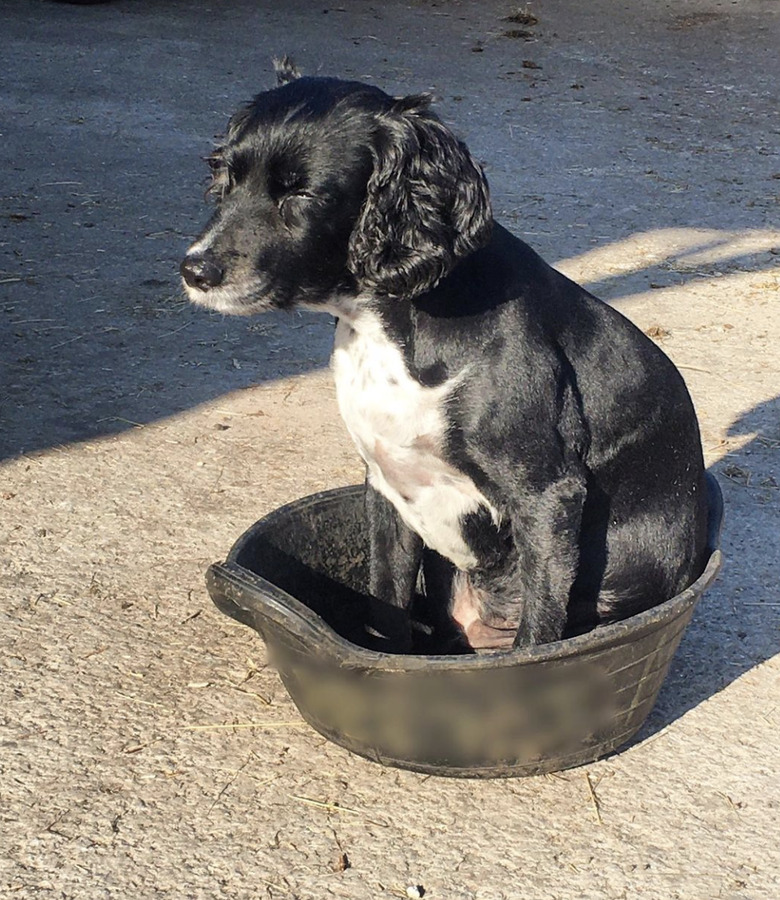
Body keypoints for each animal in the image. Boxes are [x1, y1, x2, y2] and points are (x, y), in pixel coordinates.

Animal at [180, 61, 708, 652]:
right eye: (224, 173)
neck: (393, 327)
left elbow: (537, 634)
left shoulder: (548, 498)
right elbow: (385, 608)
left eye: (303, 193)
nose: (195, 270)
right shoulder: (386, 486)